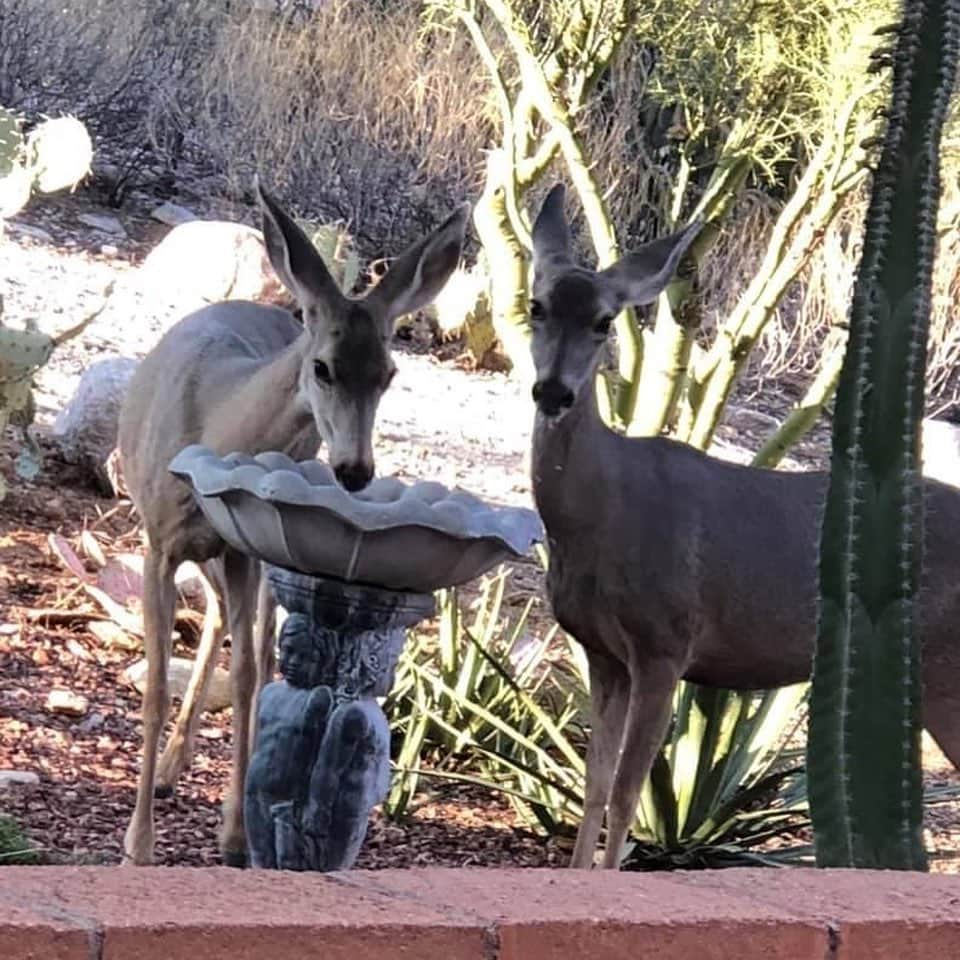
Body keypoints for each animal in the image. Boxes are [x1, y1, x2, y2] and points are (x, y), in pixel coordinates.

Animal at [118, 178, 470, 864]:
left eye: (389, 373)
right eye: (324, 367)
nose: (356, 470)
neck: (213, 420)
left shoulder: (243, 546)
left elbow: (250, 675)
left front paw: (234, 837)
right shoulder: (159, 541)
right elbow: (155, 686)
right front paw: (138, 845)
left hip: (261, 537)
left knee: (245, 639)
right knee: (220, 622)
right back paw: (170, 771)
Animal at [524, 180, 960, 872]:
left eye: (603, 322)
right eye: (535, 306)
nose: (553, 392)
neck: (598, 516)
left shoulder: (665, 643)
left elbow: (624, 795)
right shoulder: (600, 650)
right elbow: (593, 788)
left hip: (943, 659)